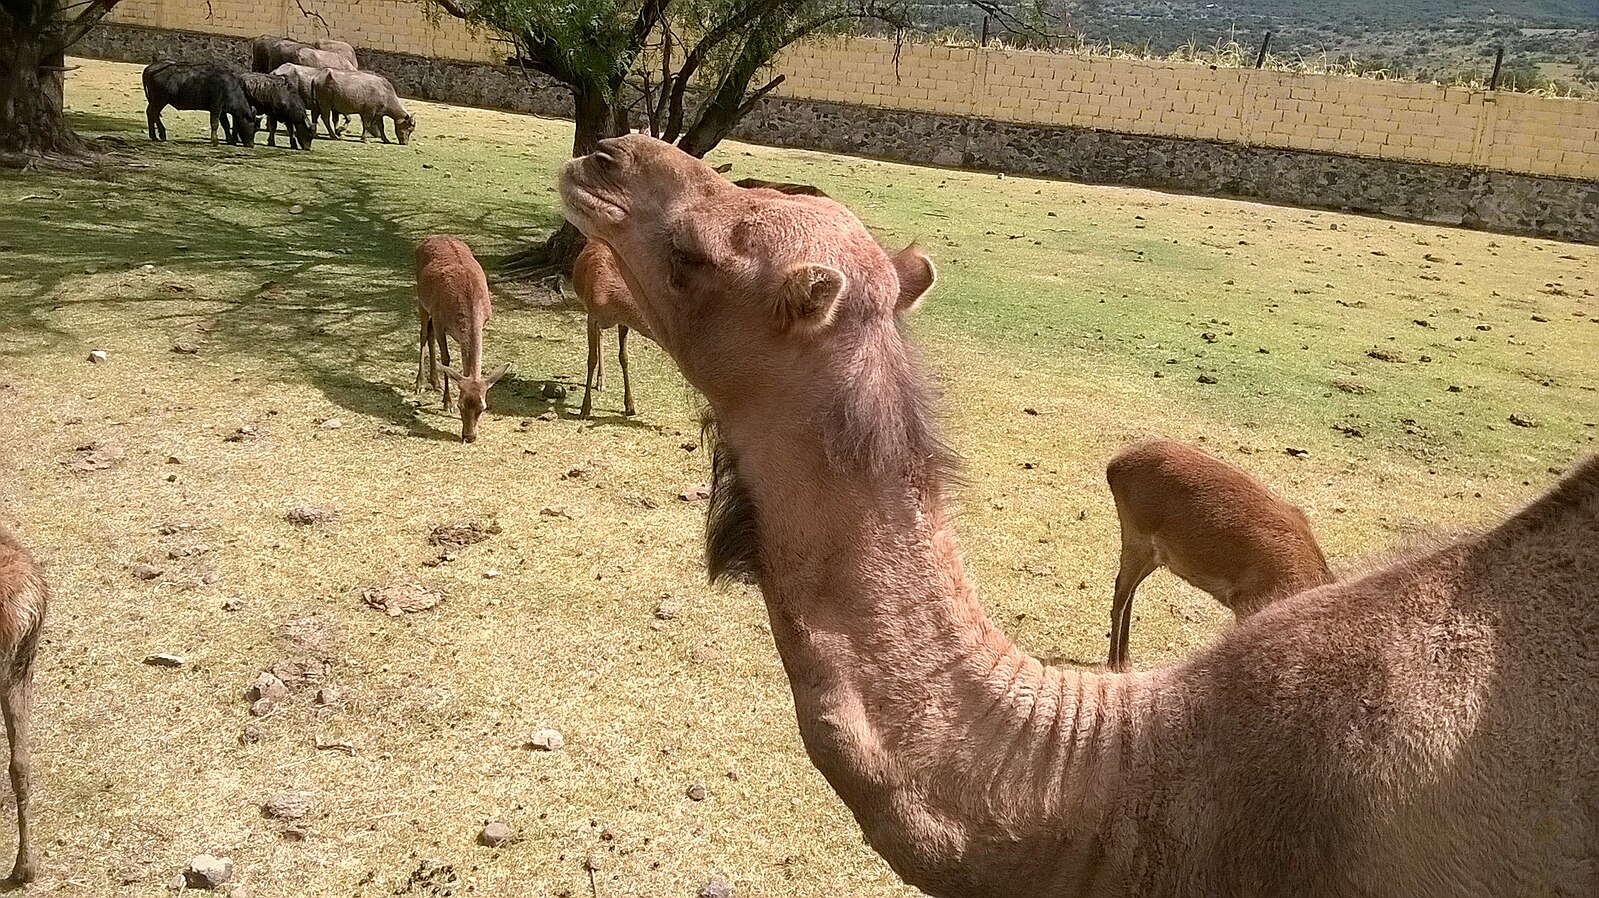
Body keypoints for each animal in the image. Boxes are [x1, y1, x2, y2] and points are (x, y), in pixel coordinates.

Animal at [415, 231, 508, 437]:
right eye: (460, 406)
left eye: (482, 408)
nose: (469, 436)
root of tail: (434, 236)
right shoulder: (440, 321)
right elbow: (446, 359)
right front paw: (446, 403)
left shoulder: (483, 323)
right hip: (421, 300)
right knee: (424, 334)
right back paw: (420, 384)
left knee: (429, 334)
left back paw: (435, 382)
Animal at [575, 239, 649, 418]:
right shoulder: (592, 317)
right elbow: (591, 359)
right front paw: (585, 408)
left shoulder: (623, 323)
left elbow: (624, 357)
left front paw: (630, 406)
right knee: (600, 335)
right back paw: (600, 380)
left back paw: (601, 380)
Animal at [1100, 437, 1336, 667]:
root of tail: (1113, 465)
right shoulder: (1245, 600)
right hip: (1136, 535)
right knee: (1121, 592)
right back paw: (1115, 664)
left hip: (1153, 553)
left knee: (1130, 590)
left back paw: (1126, 660)